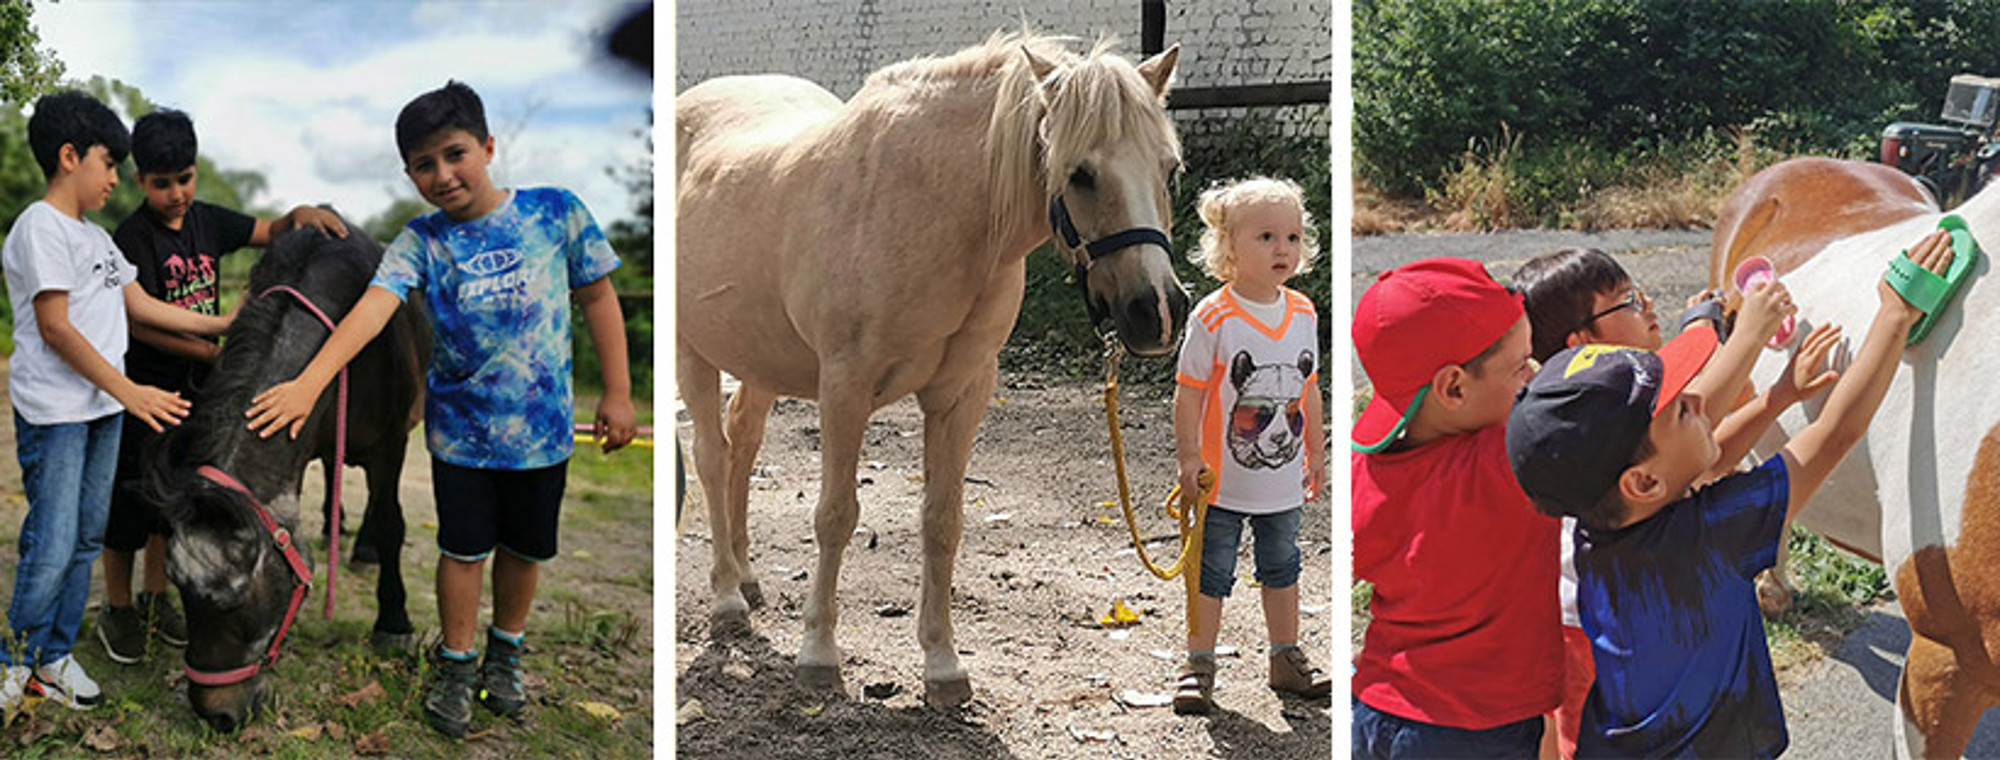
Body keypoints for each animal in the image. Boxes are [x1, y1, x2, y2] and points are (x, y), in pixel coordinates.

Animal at [145, 214, 434, 732]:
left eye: (238, 604)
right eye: (180, 589)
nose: (217, 715)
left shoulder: (391, 445)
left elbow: (392, 522)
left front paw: (394, 622)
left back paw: (363, 549)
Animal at [680, 31, 1192, 708]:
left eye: (1170, 168)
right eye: (1080, 174)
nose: (1156, 310)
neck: (925, 201)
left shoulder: (962, 394)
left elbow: (942, 523)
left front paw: (943, 665)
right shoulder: (844, 387)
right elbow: (835, 515)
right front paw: (819, 655)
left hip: (760, 359)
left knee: (743, 445)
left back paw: (746, 576)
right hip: (694, 350)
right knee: (712, 459)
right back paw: (726, 599)